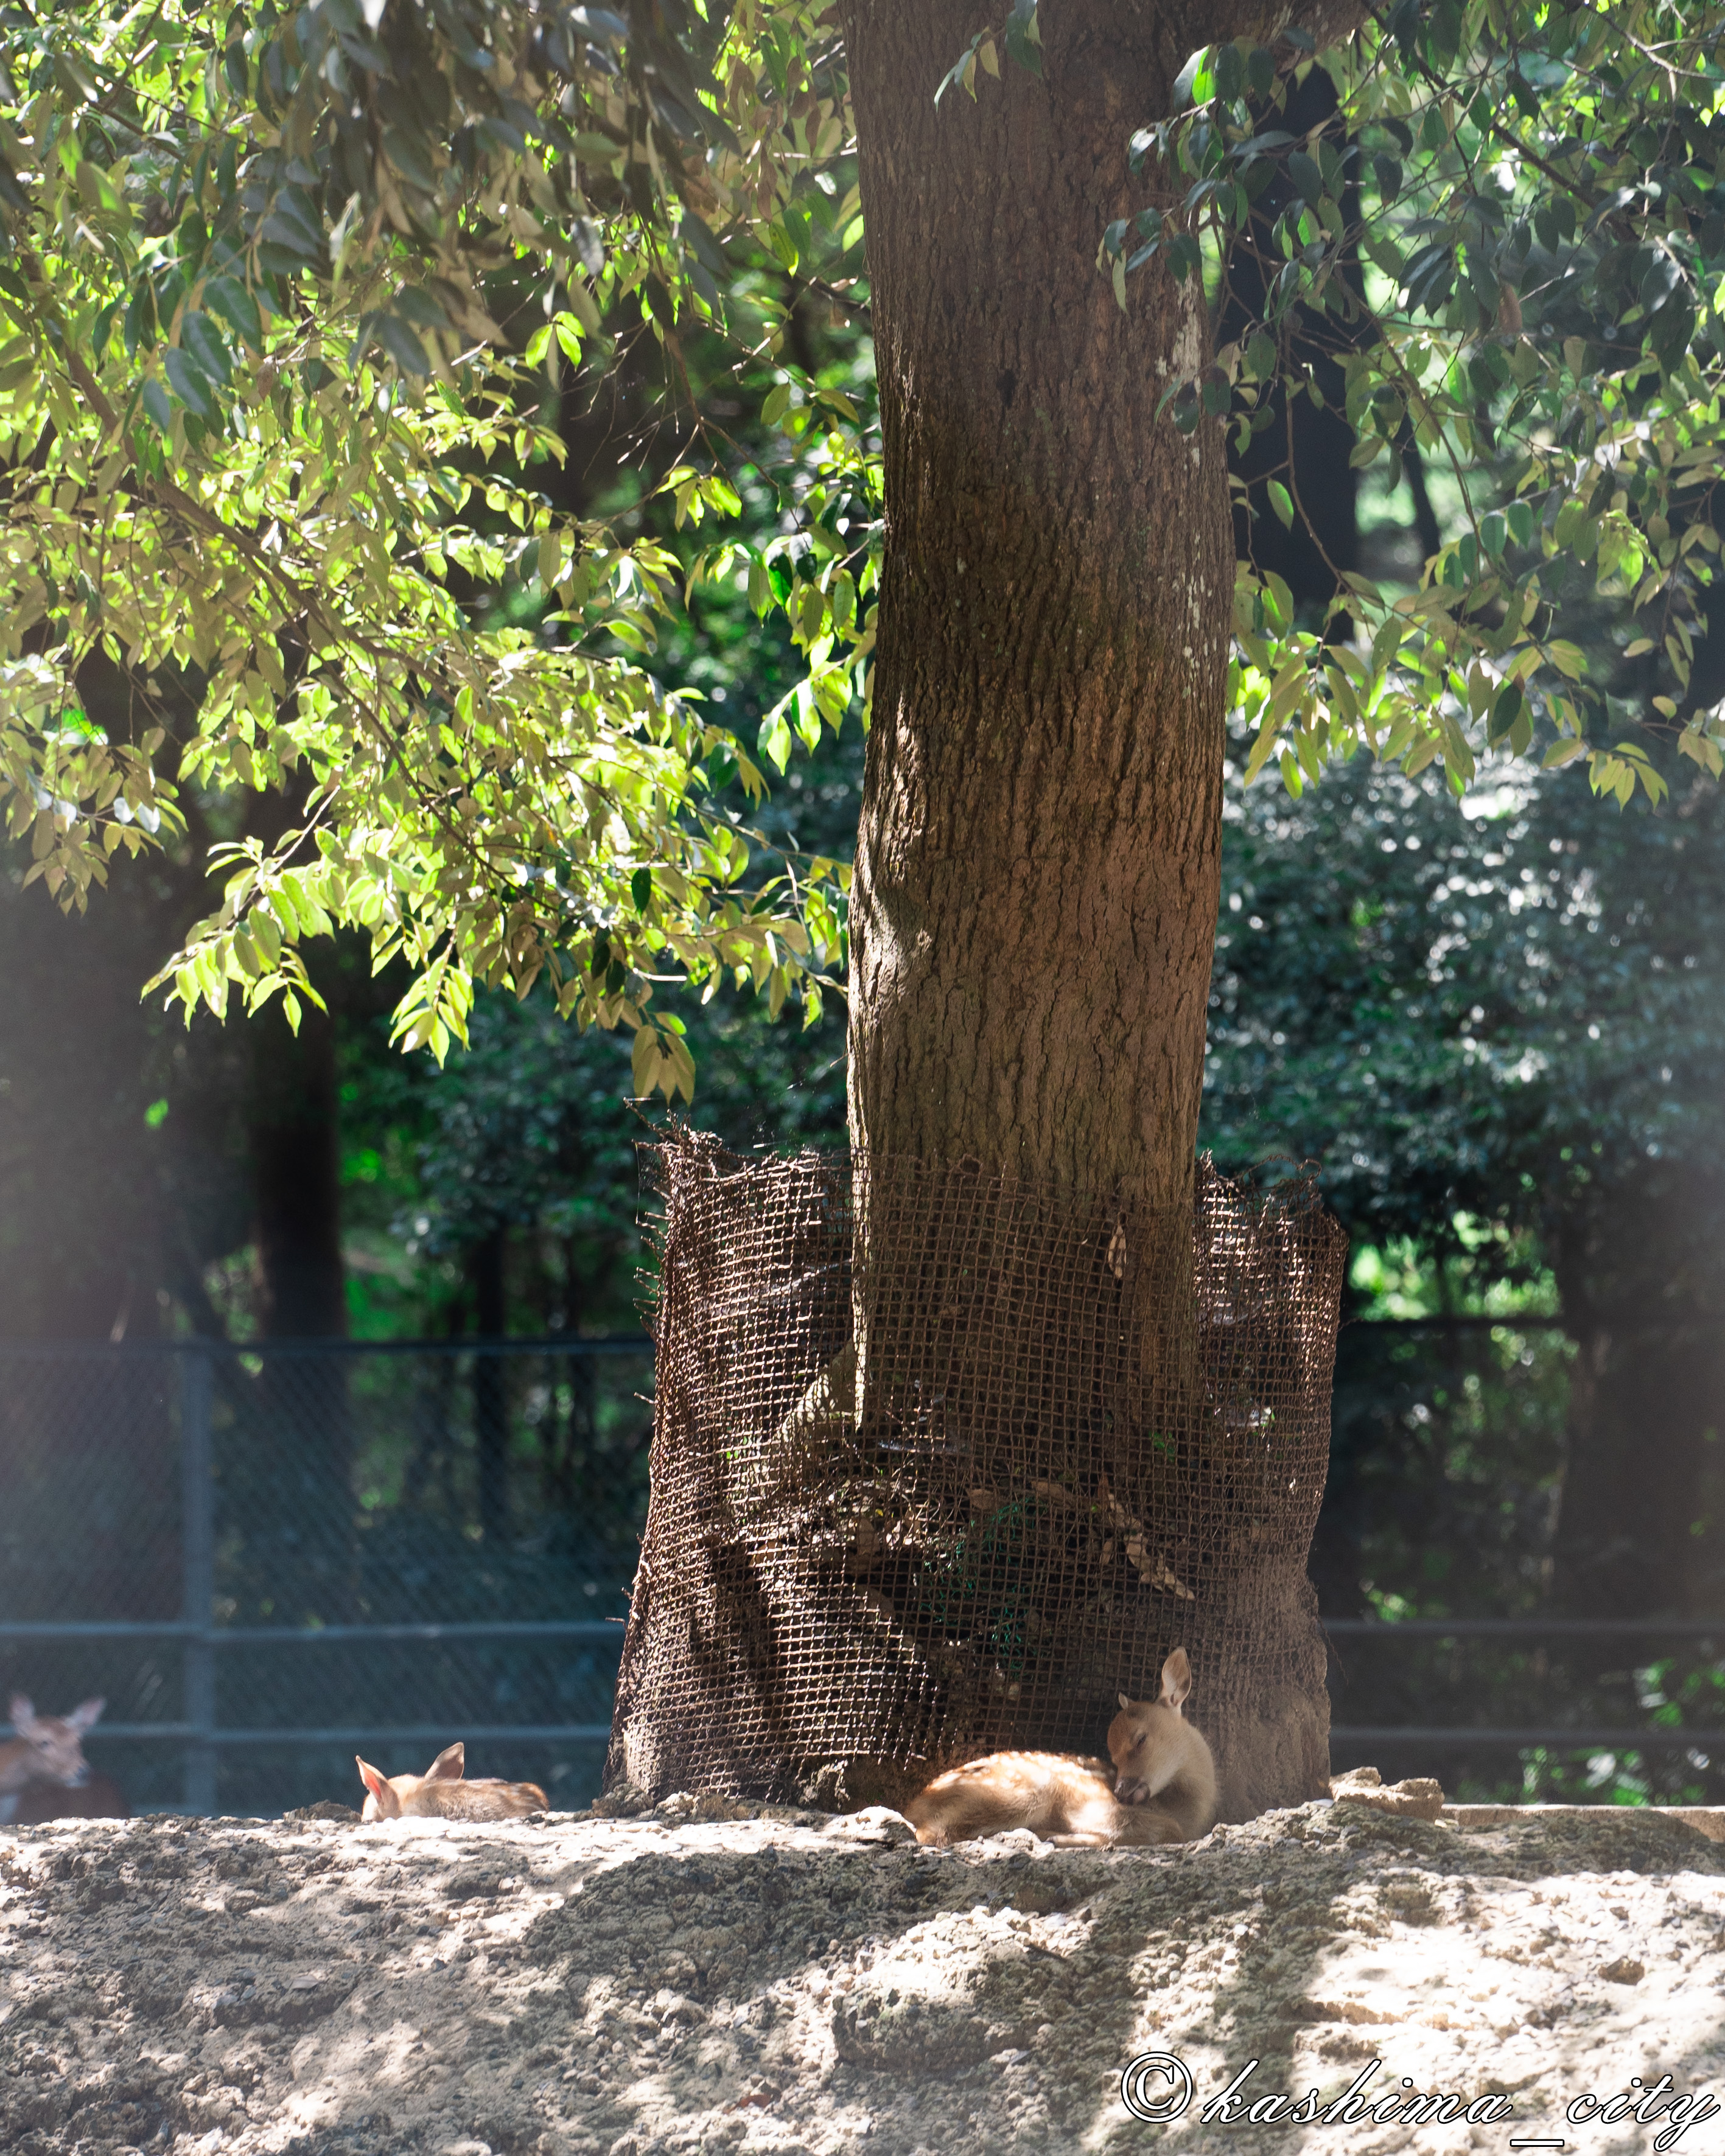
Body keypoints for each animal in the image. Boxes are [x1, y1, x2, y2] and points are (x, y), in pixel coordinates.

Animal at [903, 1648, 1217, 1849]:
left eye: (1141, 1739)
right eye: (1113, 1757)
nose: (1120, 1791)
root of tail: (914, 1804)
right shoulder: (1092, 1804)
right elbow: (1167, 1830)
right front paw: (1062, 1837)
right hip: (1024, 1791)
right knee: (931, 1834)